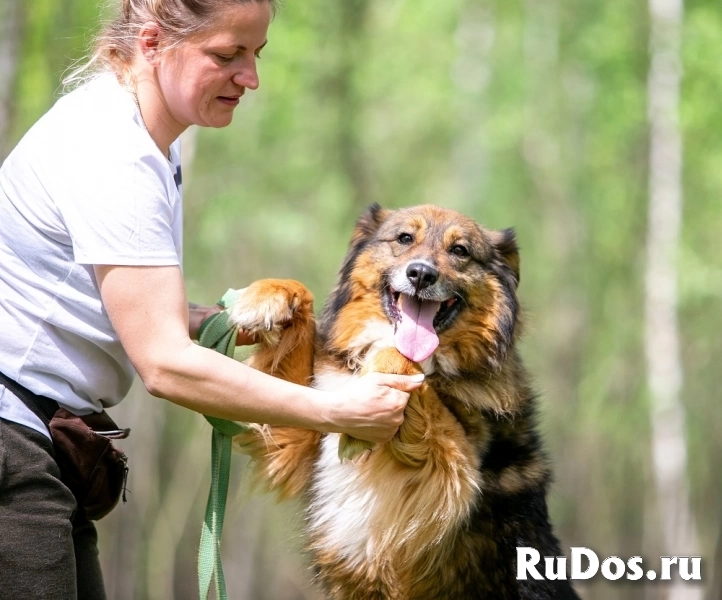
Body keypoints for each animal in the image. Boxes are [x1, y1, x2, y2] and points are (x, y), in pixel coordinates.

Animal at [231, 204, 580, 596]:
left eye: (460, 250)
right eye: (404, 238)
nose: (421, 274)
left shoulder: (450, 480)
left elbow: (404, 362)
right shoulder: (300, 433)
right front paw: (267, 298)